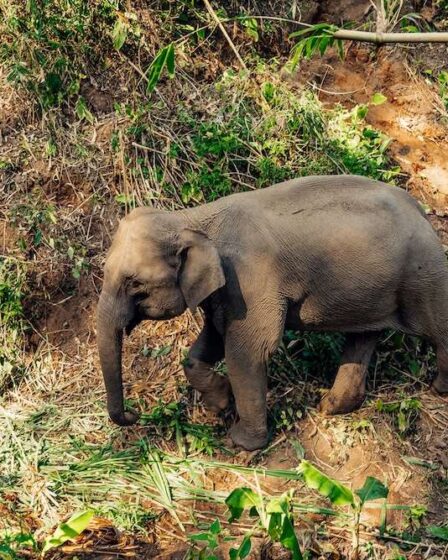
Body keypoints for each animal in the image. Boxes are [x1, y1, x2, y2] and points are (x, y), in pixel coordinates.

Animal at [95, 175, 448, 450]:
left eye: (134, 284)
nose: (135, 413)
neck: (192, 218)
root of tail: (422, 211)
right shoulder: (225, 289)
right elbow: (212, 338)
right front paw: (220, 404)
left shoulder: (250, 278)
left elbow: (247, 351)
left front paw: (241, 442)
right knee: (363, 336)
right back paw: (330, 407)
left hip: (422, 275)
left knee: (436, 330)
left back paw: (439, 388)